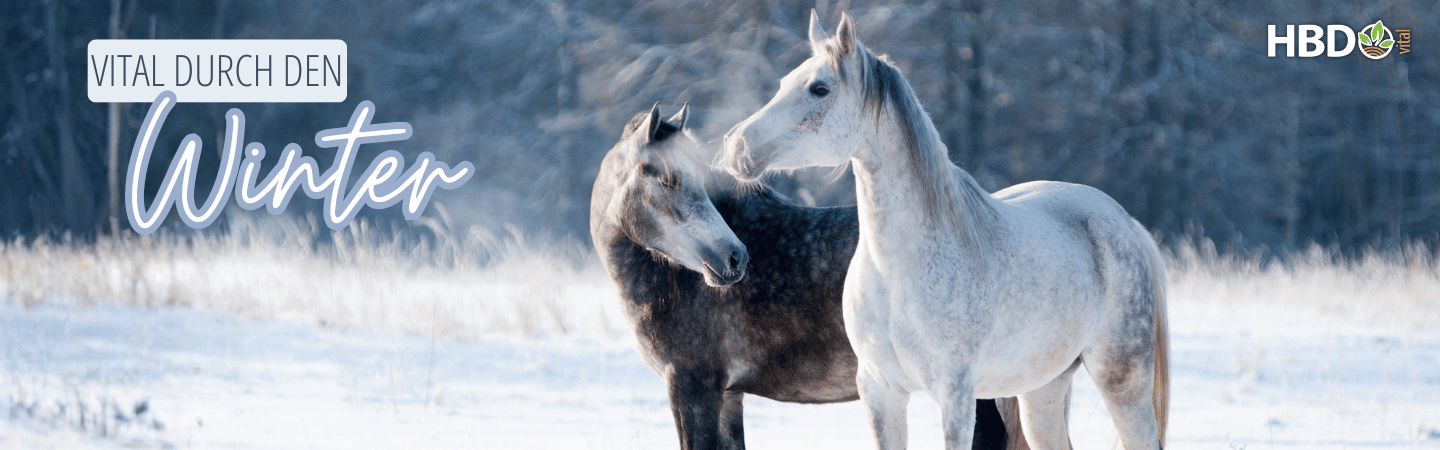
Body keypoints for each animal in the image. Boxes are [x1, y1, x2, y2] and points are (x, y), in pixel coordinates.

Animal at [719, 12, 1171, 450]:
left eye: (819, 89)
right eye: (784, 83)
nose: (735, 147)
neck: (898, 270)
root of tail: (1124, 222)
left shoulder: (955, 395)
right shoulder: (880, 390)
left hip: (1122, 381)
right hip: (1042, 390)